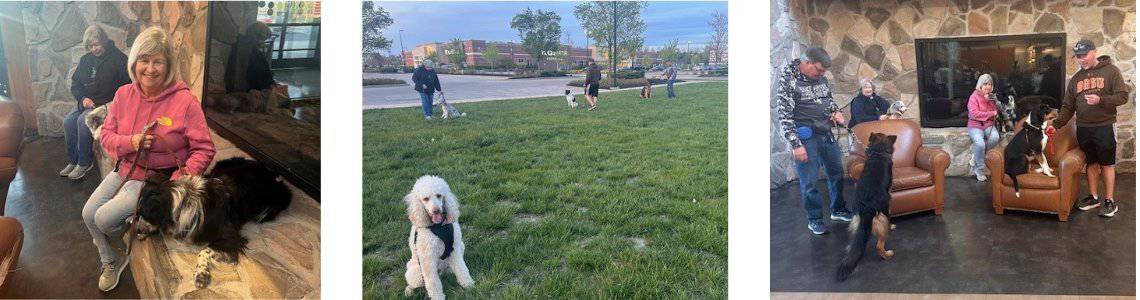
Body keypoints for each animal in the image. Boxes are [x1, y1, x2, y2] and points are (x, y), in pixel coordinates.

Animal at [133, 158, 296, 288]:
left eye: (143, 214)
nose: (136, 231)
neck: (186, 202)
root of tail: (271, 172)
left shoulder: (232, 237)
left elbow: (204, 250)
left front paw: (201, 274)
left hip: (268, 209)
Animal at [834, 132, 893, 284]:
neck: (878, 152)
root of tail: (867, 206)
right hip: (881, 220)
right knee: (879, 245)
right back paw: (887, 254)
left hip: (857, 221)